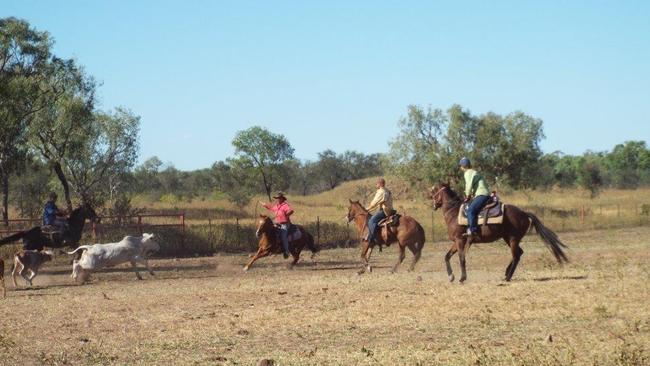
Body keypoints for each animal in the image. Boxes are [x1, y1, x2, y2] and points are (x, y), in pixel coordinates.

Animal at [430, 183, 568, 284]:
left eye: (433, 191)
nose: (433, 205)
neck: (453, 213)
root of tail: (524, 213)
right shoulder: (457, 241)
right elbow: (447, 256)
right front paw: (451, 276)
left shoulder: (460, 240)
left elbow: (461, 258)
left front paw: (462, 278)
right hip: (508, 238)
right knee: (519, 253)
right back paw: (506, 273)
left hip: (513, 239)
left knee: (516, 255)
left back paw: (508, 277)